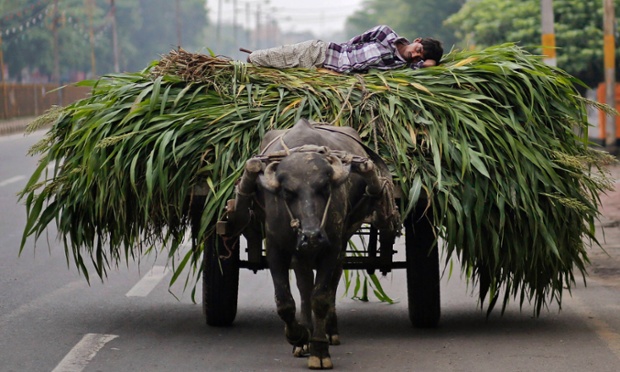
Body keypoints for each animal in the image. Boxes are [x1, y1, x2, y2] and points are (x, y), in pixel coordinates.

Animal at [231, 119, 398, 370]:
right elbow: (285, 301)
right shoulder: (277, 249)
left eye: (324, 188)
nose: (311, 236)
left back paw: (330, 330)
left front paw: (319, 349)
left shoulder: (331, 247)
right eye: (288, 192)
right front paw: (299, 336)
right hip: (301, 253)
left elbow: (321, 297)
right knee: (304, 286)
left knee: (329, 283)